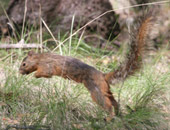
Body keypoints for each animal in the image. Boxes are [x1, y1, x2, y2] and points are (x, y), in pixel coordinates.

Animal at [19, 12, 155, 121]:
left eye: (24, 64)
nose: (19, 72)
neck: (39, 59)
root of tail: (102, 75)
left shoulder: (47, 66)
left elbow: (46, 73)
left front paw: (35, 75)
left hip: (95, 89)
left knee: (107, 104)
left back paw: (110, 117)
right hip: (105, 89)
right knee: (113, 101)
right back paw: (118, 113)